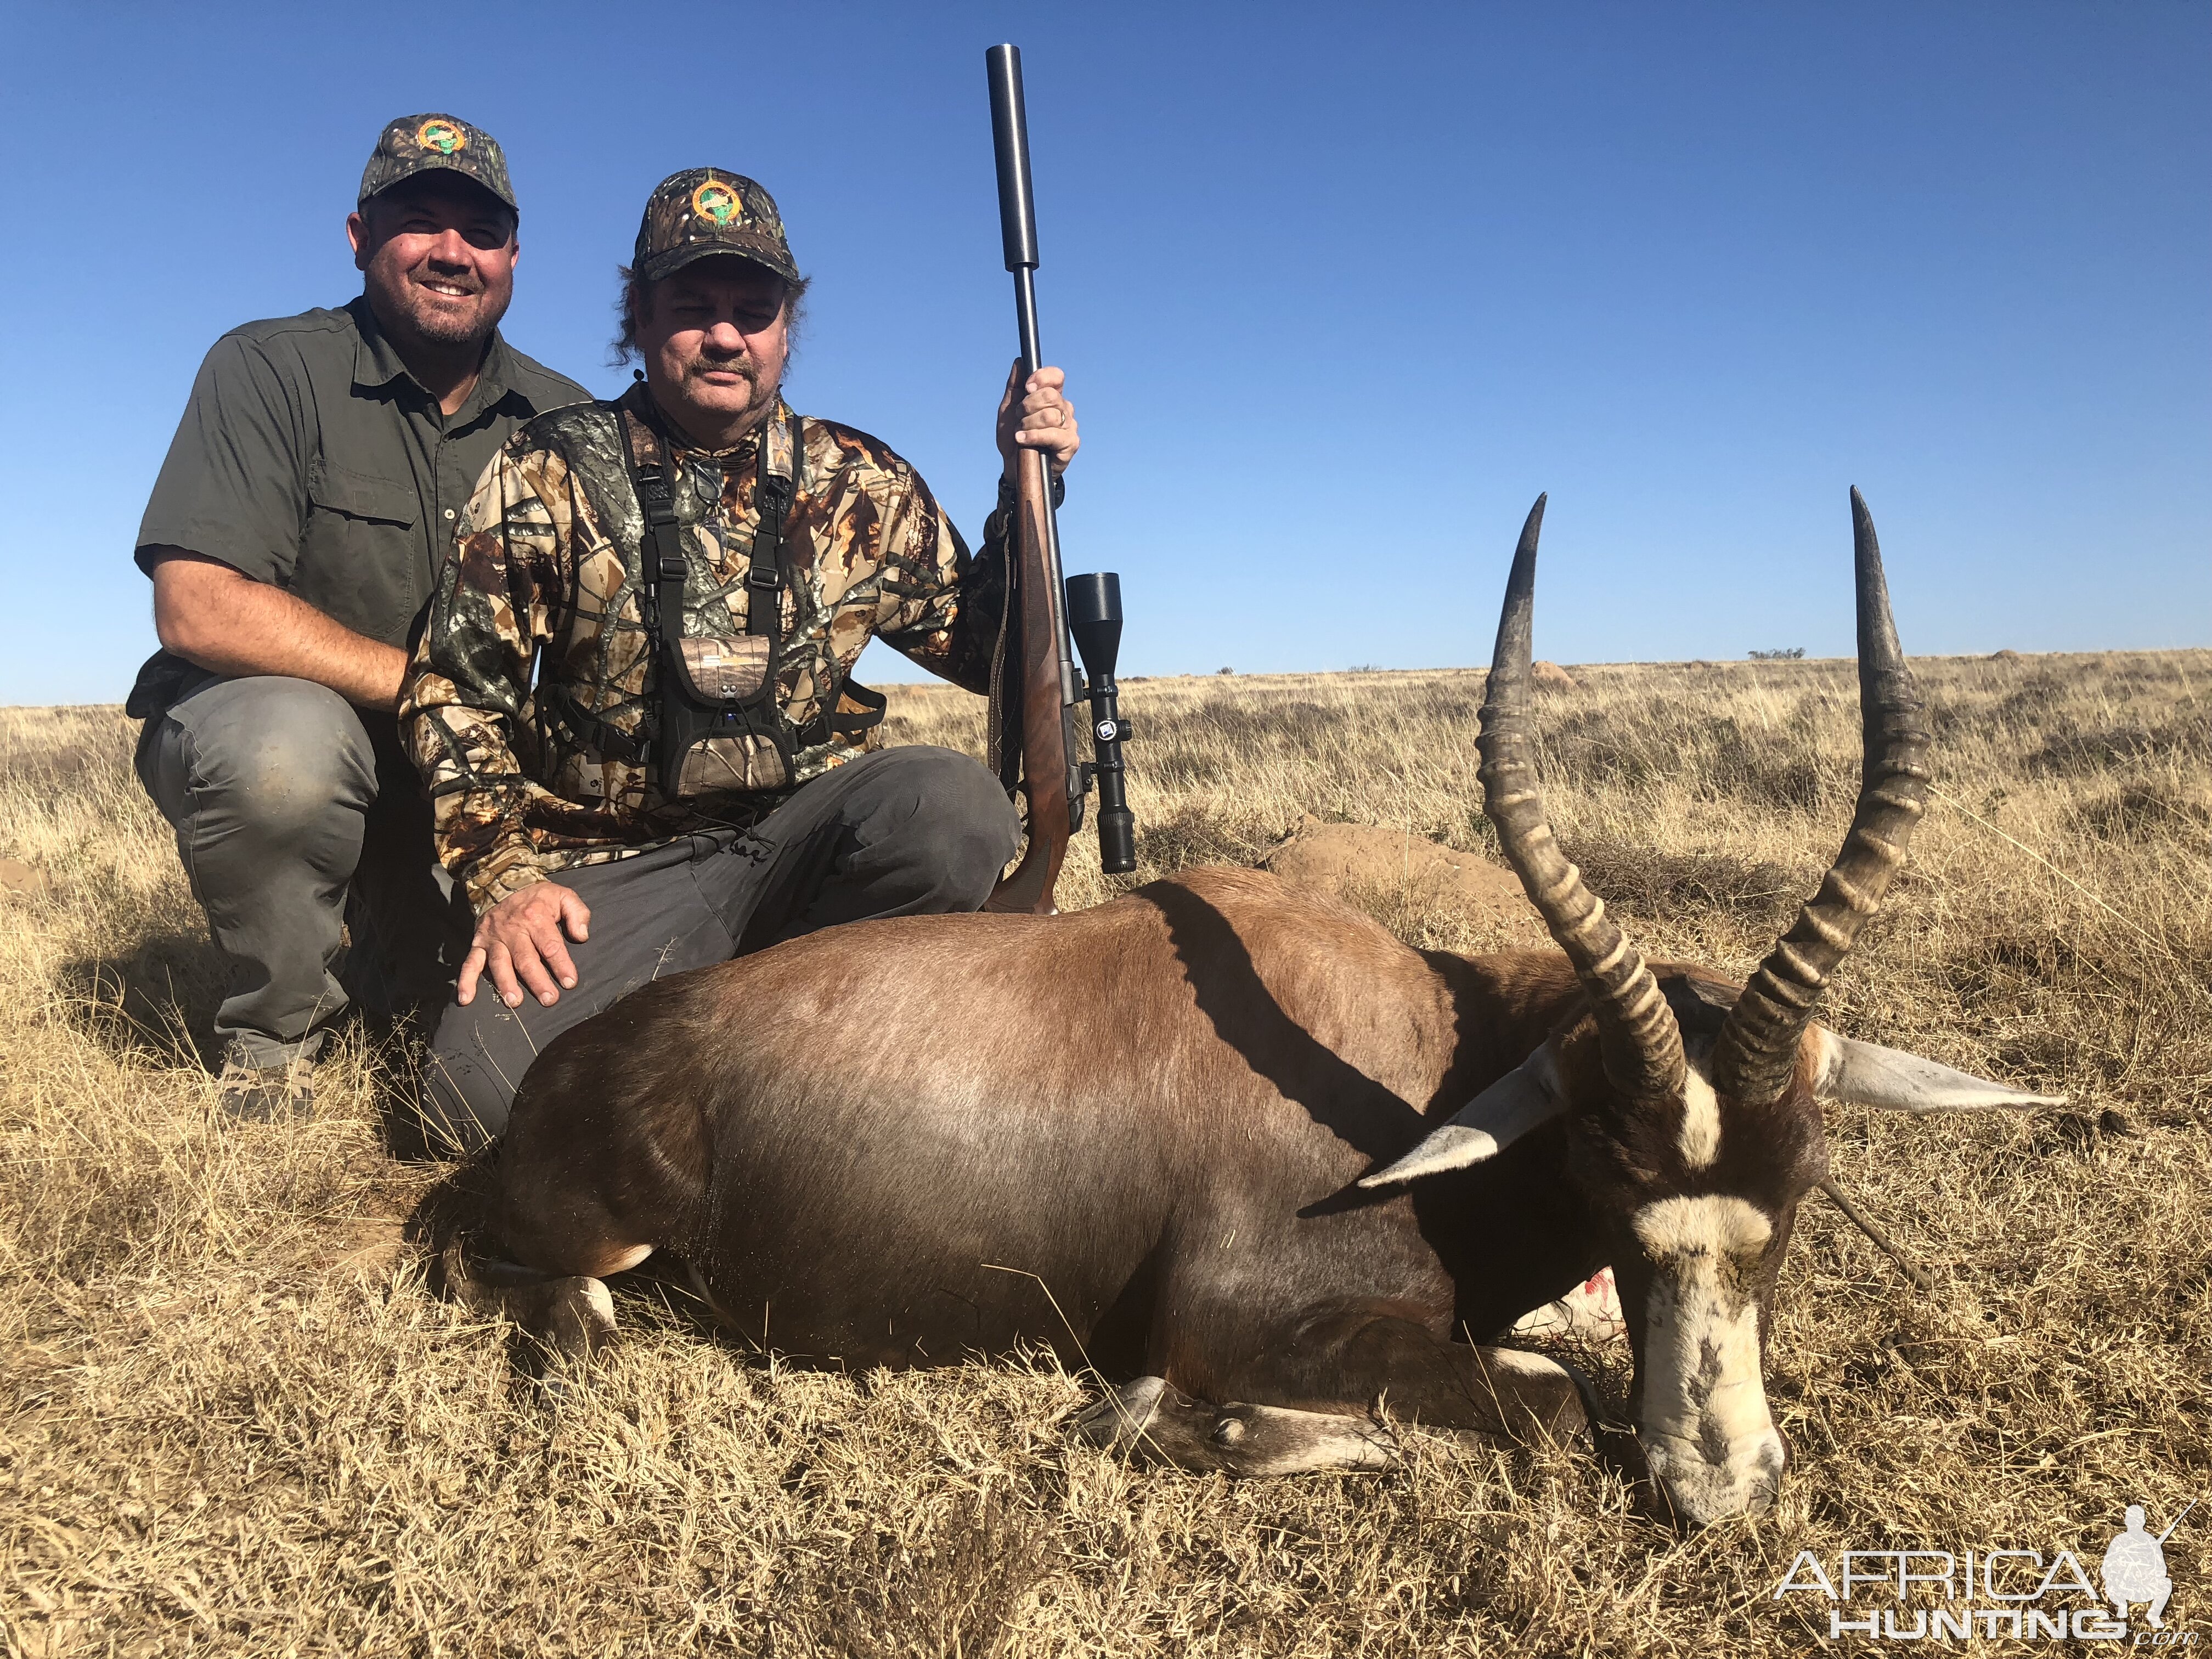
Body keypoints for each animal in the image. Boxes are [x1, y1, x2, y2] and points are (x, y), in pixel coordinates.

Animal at [444, 493, 2052, 1531]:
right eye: (1606, 1164)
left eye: (1805, 1177)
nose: (1716, 1489)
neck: (1414, 1060)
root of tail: (566, 1072)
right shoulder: (1239, 1319)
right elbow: (1538, 1394)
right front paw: (1161, 1422)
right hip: (591, 1243)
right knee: (553, 1299)